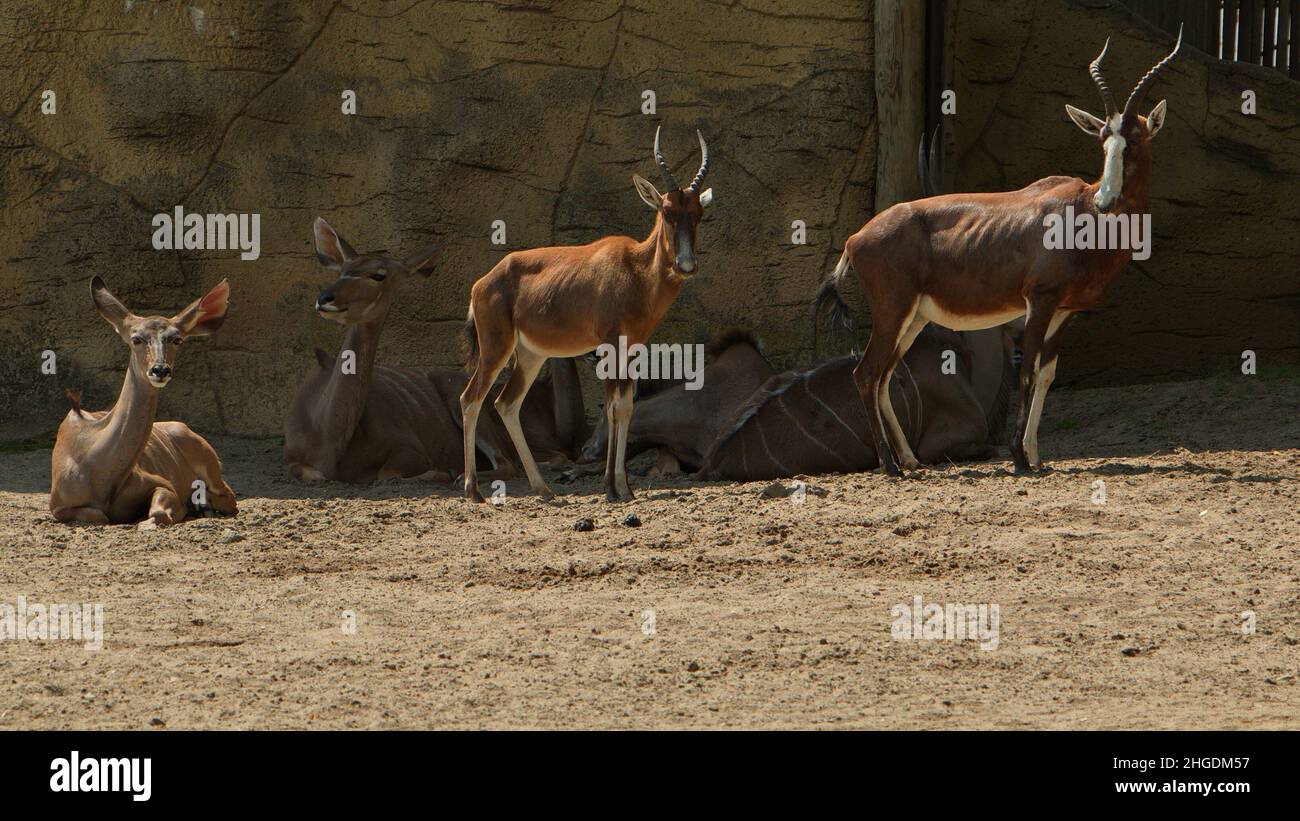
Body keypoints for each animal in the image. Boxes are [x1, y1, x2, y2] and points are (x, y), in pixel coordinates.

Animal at [50, 279, 239, 530]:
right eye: (136, 338)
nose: (160, 370)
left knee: (228, 498)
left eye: (177, 339)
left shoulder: (163, 484)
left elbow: (159, 511)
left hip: (211, 466)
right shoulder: (59, 505)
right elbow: (101, 515)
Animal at [289, 220, 590, 483]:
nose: (325, 298)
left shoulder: (411, 451)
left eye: (378, 275)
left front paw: (443, 473)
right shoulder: (295, 461)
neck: (330, 435)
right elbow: (313, 473)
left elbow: (387, 475)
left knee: (508, 463)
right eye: (342, 270)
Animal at [465, 126, 717, 501]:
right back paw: (474, 491)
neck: (634, 268)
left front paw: (620, 487)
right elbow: (613, 407)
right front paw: (615, 488)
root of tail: (484, 281)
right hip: (496, 348)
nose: (687, 265)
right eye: (667, 212)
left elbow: (625, 407)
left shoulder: (631, 349)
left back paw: (544, 489)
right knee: (471, 399)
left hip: (530, 355)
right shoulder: (610, 345)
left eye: (698, 214)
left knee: (506, 403)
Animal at [826, 30, 1185, 475]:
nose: (1106, 200)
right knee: (866, 374)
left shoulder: (1064, 313)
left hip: (914, 318)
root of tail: (856, 239)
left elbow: (1046, 376)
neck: (1081, 209)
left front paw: (1035, 456)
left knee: (884, 376)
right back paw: (890, 467)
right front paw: (1018, 458)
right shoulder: (1039, 302)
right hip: (893, 311)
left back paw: (909, 461)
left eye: (1134, 140)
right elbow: (1027, 374)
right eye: (1104, 142)